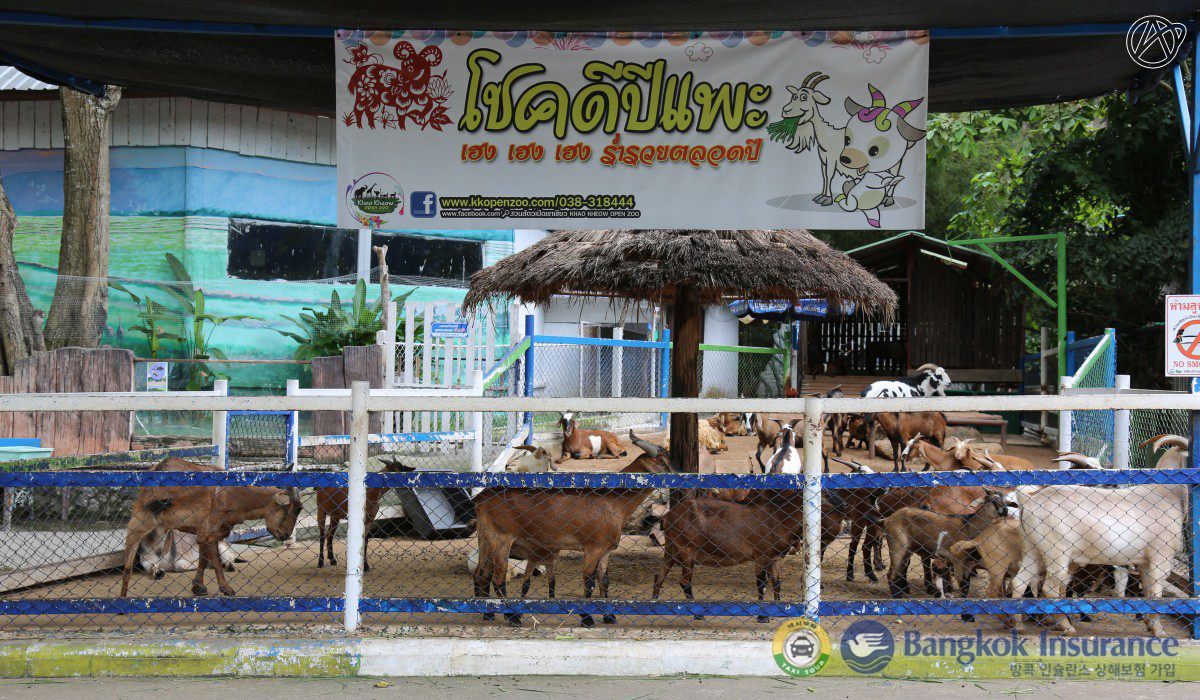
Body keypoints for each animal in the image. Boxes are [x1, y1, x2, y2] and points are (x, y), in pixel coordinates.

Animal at [119, 461, 302, 597]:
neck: (233, 494)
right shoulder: (210, 531)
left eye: (299, 509)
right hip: (138, 523)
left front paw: (198, 587)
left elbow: (204, 558)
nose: (286, 534)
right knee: (128, 567)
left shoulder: (204, 533)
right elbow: (213, 561)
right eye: (286, 509)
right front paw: (226, 589)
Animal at [470, 429, 676, 629]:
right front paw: (587, 618)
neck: (613, 501)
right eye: (664, 463)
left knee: (482, 574)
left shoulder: (605, 550)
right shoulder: (593, 549)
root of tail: (480, 499)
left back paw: (488, 614)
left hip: (486, 538)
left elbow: (604, 580)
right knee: (497, 579)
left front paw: (609, 616)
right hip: (501, 539)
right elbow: (589, 581)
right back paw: (512, 617)